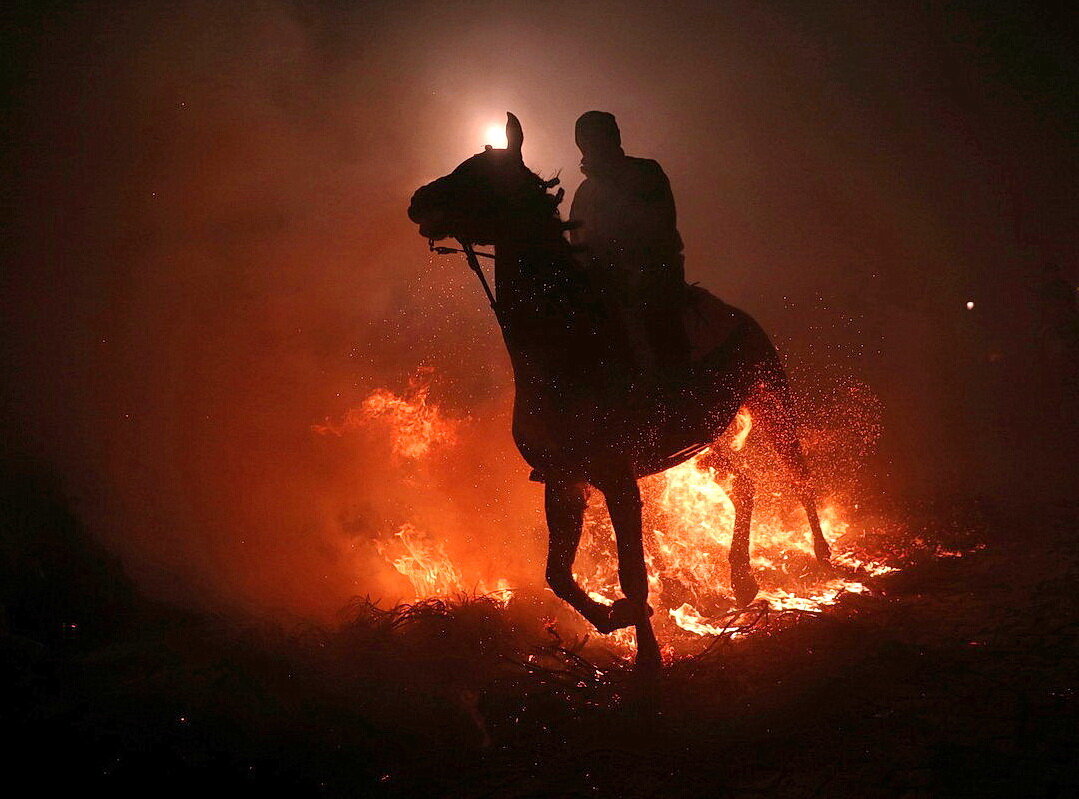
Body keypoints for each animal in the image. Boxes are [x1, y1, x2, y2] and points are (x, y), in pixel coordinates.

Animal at [407, 113, 828, 672]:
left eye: (479, 174)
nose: (418, 200)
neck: (571, 345)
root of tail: (737, 314)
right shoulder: (565, 481)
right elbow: (557, 575)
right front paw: (614, 617)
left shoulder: (617, 480)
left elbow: (633, 572)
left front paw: (647, 656)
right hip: (707, 442)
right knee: (744, 486)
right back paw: (742, 578)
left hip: (771, 404)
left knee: (799, 477)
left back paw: (823, 558)